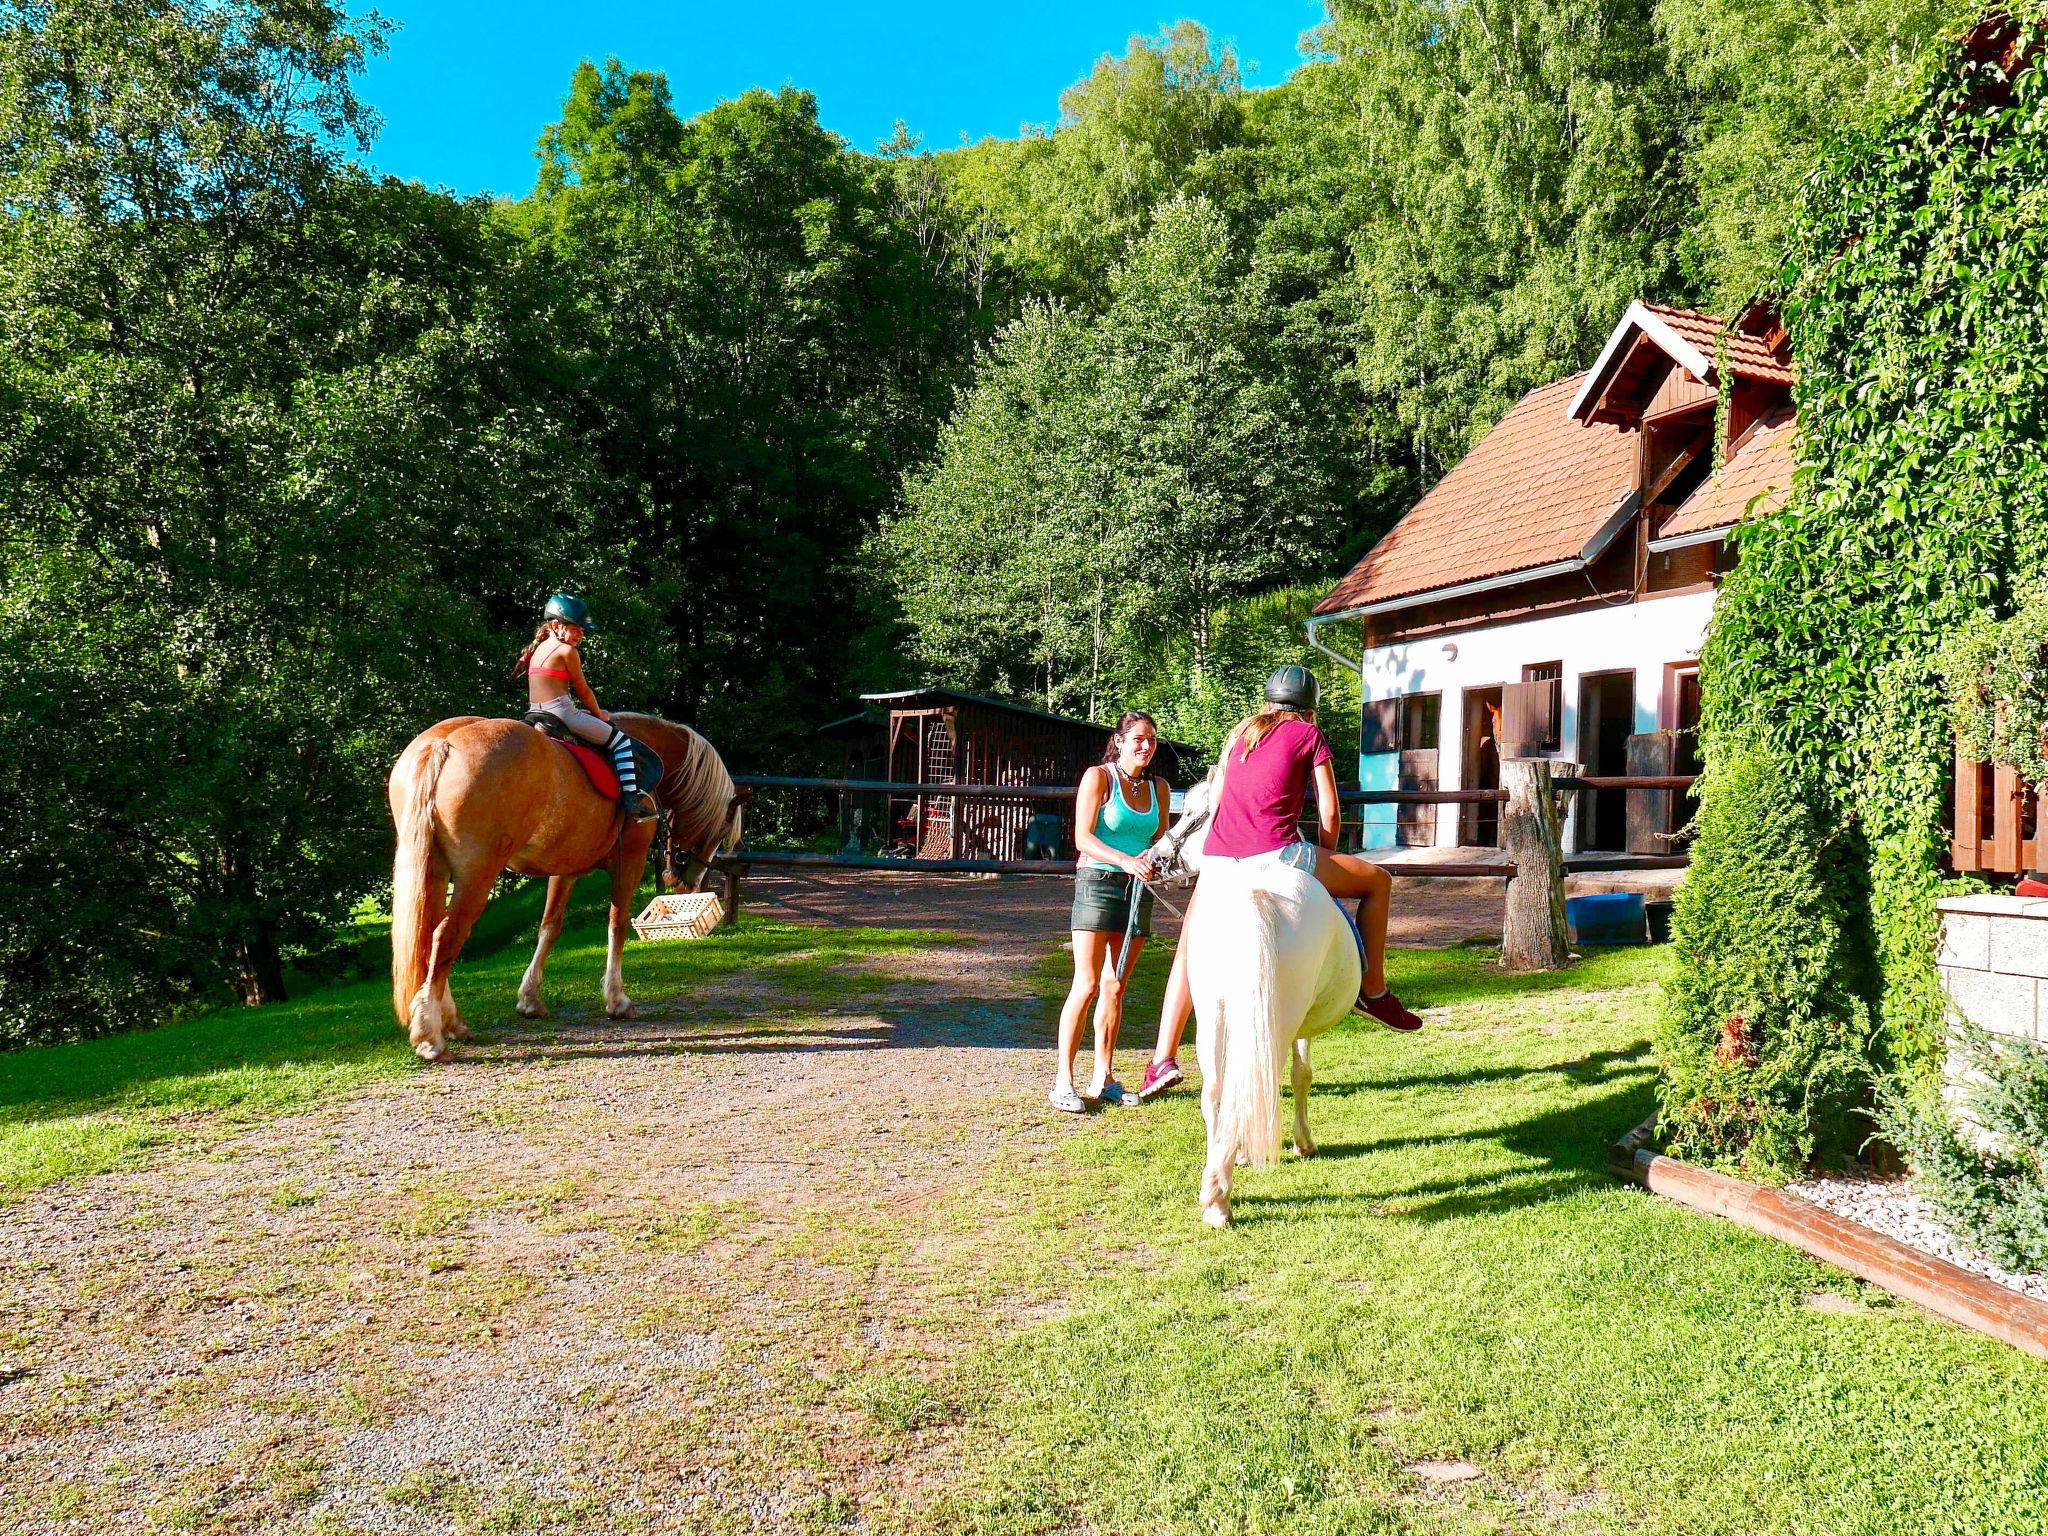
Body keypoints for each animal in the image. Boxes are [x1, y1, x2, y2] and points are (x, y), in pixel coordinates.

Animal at [385, 716, 745, 1064]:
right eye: (722, 828)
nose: (691, 880)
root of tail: (442, 743)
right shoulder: (629, 861)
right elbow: (617, 925)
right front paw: (617, 999)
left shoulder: (565, 869)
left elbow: (549, 927)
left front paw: (530, 998)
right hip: (476, 876)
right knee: (445, 937)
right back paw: (431, 1035)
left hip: (434, 871)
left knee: (427, 937)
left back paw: (448, 1021)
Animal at [1155, 782, 1359, 1228]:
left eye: (1192, 814)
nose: (1157, 856)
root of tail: (1254, 896)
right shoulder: (1298, 1028)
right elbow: (1301, 1075)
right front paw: (1302, 1143)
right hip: (1278, 1020)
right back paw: (1219, 1200)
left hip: (1214, 1018)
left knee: (1217, 1090)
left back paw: (1218, 1178)